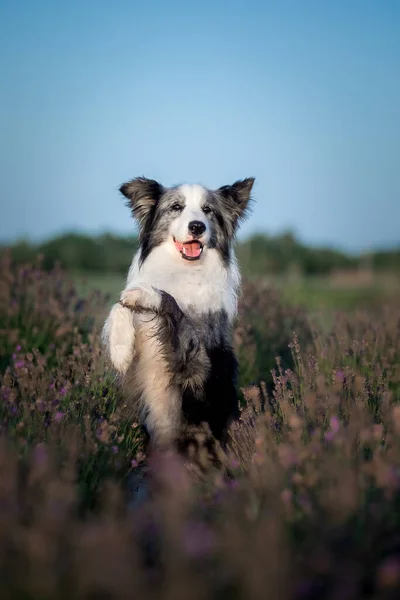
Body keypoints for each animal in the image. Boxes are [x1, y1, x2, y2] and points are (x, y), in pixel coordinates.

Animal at [101, 176, 255, 452]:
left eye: (208, 210)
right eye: (176, 207)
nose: (197, 227)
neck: (183, 270)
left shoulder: (198, 365)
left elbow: (170, 303)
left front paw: (146, 294)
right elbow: (119, 304)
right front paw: (120, 351)